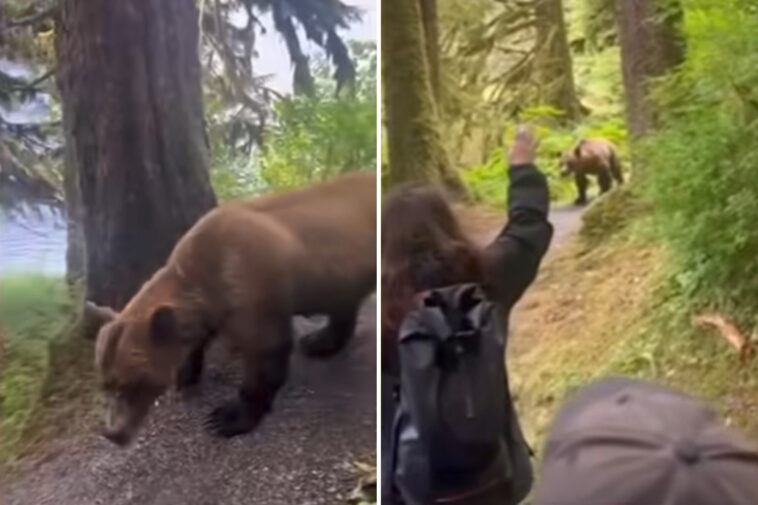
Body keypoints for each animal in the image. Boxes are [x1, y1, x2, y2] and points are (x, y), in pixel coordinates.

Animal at [84, 171, 376, 446]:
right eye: (105, 384)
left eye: (131, 383)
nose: (113, 433)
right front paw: (186, 374)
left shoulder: (251, 288)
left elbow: (265, 352)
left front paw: (227, 417)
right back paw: (318, 341)